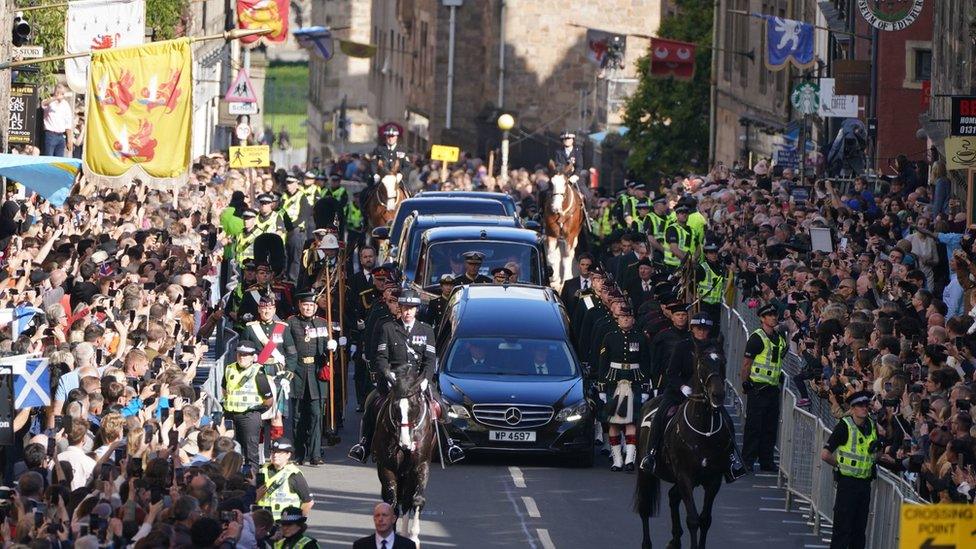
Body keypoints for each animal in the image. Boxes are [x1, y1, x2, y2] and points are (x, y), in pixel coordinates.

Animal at [374, 364, 434, 544]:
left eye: (414, 406)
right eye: (395, 407)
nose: (405, 444)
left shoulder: (421, 465)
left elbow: (417, 499)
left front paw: (414, 536)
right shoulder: (386, 467)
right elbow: (391, 504)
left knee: (407, 500)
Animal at [540, 159, 580, 288]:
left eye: (565, 183)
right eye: (550, 183)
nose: (555, 207)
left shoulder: (570, 237)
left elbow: (566, 258)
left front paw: (566, 279)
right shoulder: (551, 234)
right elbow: (551, 255)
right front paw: (554, 277)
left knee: (571, 253)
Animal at [632, 344, 732, 544]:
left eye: (723, 362)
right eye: (702, 364)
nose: (717, 395)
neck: (704, 429)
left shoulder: (713, 480)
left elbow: (705, 520)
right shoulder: (685, 477)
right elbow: (693, 520)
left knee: (672, 496)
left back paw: (675, 539)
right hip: (646, 472)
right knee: (645, 506)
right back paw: (648, 543)